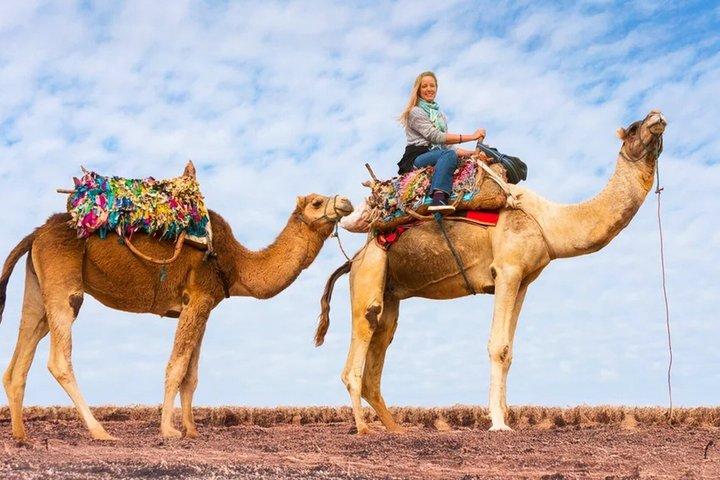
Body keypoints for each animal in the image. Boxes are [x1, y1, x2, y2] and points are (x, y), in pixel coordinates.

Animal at [0, 172, 353, 441]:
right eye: (317, 201)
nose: (346, 202)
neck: (235, 263)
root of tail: (35, 234)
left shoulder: (202, 305)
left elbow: (192, 375)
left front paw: (192, 430)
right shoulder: (198, 297)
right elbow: (177, 366)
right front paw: (169, 430)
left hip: (39, 282)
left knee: (25, 343)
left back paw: (21, 435)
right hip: (64, 279)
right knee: (59, 357)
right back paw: (100, 431)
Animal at [315, 110, 666, 434]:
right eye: (634, 127)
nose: (657, 117)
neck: (547, 222)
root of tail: (354, 259)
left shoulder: (524, 280)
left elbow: (509, 350)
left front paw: (505, 417)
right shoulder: (507, 269)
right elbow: (497, 347)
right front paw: (498, 423)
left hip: (390, 290)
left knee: (380, 343)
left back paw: (397, 429)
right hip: (370, 271)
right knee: (360, 341)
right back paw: (363, 428)